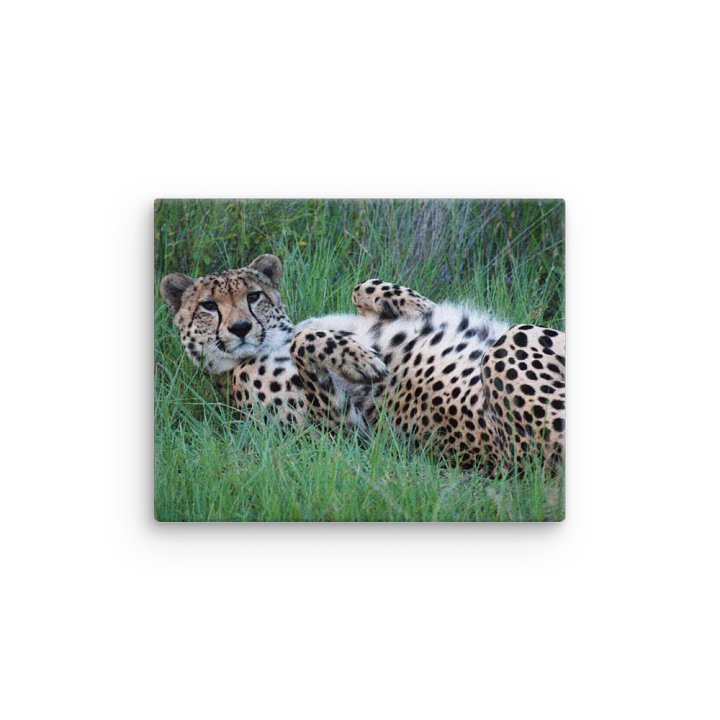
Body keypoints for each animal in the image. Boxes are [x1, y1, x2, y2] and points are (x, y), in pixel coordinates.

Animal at [160, 254, 565, 470]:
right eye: (208, 306)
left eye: (254, 296)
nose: (241, 328)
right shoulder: (351, 439)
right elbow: (306, 345)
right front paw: (360, 358)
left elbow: (361, 286)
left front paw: (419, 305)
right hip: (515, 342)